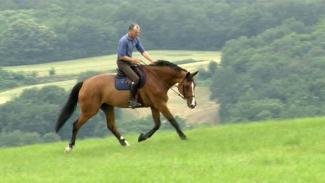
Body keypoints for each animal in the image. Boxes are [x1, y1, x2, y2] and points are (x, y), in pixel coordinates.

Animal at [55, 60, 197, 153]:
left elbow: (157, 125)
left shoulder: (154, 106)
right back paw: (69, 147)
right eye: (186, 86)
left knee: (111, 126)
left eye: (194, 85)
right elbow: (172, 120)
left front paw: (141, 137)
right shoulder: (160, 104)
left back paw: (124, 142)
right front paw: (184, 136)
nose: (193, 104)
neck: (157, 78)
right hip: (89, 110)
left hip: (108, 107)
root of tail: (85, 83)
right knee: (76, 124)